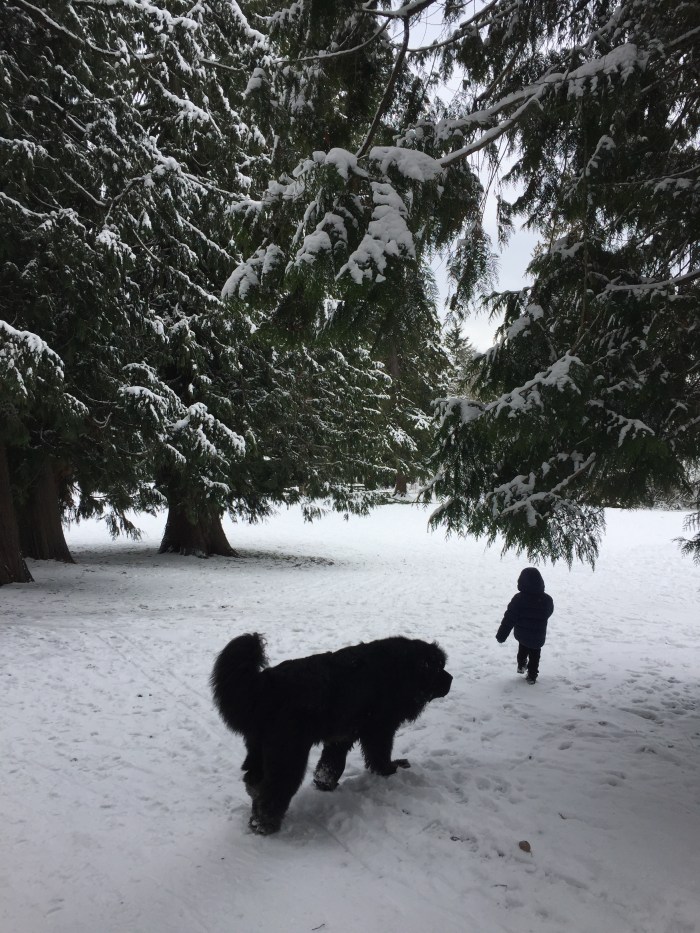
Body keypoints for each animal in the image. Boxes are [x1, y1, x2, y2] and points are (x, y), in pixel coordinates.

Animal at [211, 633, 452, 834]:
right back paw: (266, 825)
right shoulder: (380, 728)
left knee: (254, 780)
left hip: (258, 748)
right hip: (288, 752)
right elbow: (379, 753)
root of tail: (265, 683)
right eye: (438, 667)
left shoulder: (342, 733)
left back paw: (255, 818)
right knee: (274, 789)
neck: (402, 670)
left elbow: (331, 762)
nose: (450, 679)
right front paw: (389, 770)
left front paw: (325, 783)